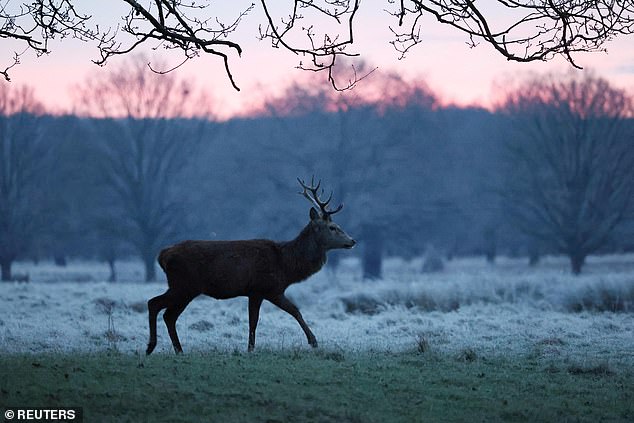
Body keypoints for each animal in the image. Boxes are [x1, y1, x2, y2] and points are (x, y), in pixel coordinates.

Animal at [147, 177, 356, 356]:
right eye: (333, 227)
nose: (352, 241)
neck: (286, 266)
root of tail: (162, 255)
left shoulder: (263, 291)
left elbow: (259, 319)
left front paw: (250, 348)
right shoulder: (264, 288)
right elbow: (285, 313)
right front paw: (313, 341)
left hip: (185, 288)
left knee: (169, 315)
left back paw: (178, 350)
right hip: (184, 285)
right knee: (155, 304)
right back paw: (151, 347)